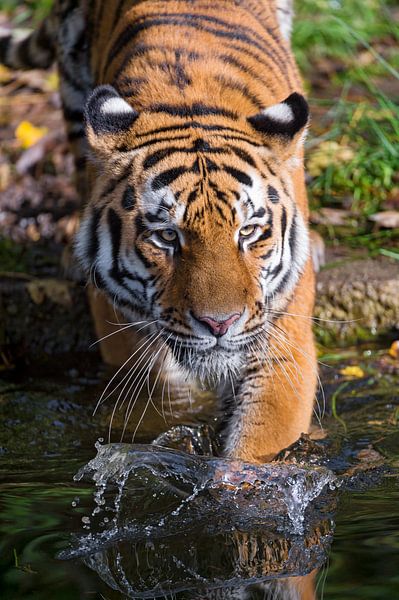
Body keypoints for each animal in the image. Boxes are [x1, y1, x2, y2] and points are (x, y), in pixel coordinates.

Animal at [0, 0, 318, 464]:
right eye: (167, 237)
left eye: (248, 232)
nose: (220, 324)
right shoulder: (123, 329)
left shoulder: (283, 338)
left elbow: (260, 441)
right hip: (75, 91)